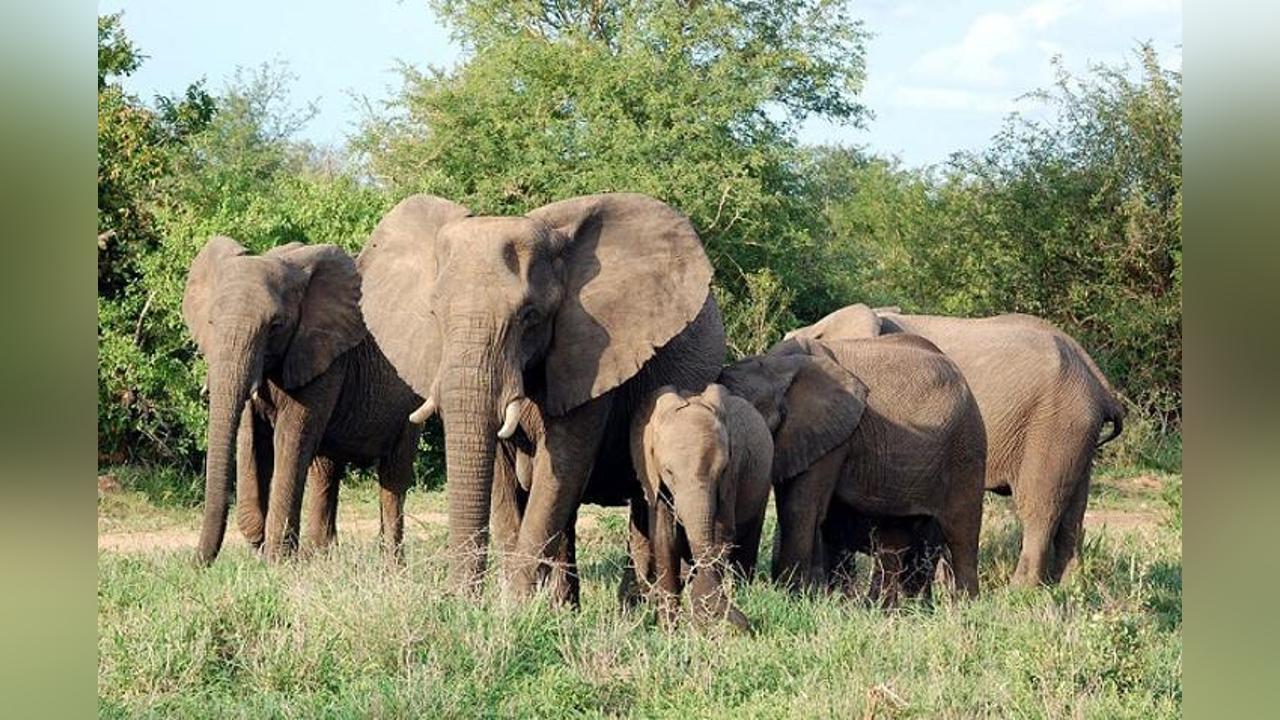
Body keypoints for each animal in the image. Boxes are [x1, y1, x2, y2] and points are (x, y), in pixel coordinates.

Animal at [183, 237, 423, 565]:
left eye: (275, 325)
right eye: (210, 321)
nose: (198, 565)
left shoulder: (323, 357)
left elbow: (290, 438)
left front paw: (277, 560)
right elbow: (250, 436)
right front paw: (262, 542)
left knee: (393, 476)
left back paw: (391, 565)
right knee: (326, 469)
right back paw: (320, 557)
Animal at [357, 193, 726, 596]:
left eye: (529, 317)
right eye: (435, 314)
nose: (453, 598)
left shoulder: (592, 355)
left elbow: (561, 465)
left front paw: (516, 601)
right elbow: (502, 479)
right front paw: (511, 602)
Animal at [629, 384, 773, 631]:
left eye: (721, 470)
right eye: (669, 472)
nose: (746, 624)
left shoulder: (732, 474)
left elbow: (720, 533)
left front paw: (699, 624)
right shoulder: (652, 476)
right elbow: (664, 538)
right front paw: (669, 630)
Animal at [720, 334, 986, 600]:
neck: (776, 367)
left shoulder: (832, 436)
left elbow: (798, 508)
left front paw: (793, 597)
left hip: (966, 447)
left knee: (961, 534)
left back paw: (967, 604)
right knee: (898, 533)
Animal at [786, 304, 1125, 586]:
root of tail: (1098, 381)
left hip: (1054, 424)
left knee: (1040, 509)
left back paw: (1020, 592)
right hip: (1075, 431)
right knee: (1073, 513)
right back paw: (1066, 589)